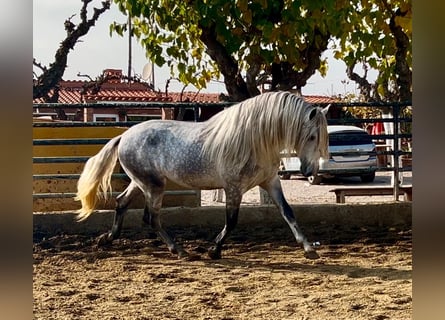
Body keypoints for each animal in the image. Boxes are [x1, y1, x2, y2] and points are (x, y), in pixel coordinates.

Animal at [76, 90, 328, 260]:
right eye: (312, 136)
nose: (309, 171)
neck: (253, 141)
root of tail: (124, 136)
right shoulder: (233, 188)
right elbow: (231, 221)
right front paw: (214, 250)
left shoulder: (270, 182)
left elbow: (288, 212)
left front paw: (308, 248)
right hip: (153, 186)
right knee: (151, 218)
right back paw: (179, 251)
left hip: (141, 183)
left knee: (122, 203)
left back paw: (107, 239)